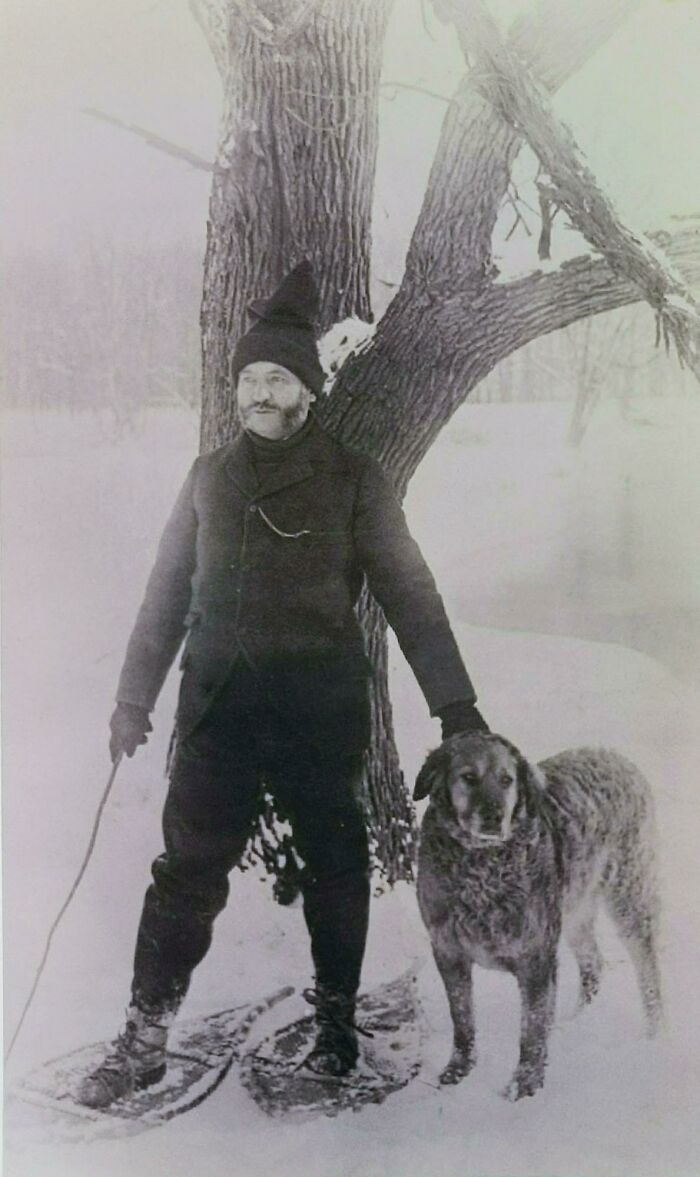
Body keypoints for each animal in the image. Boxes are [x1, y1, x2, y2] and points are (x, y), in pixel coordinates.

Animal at [416, 729, 663, 1096]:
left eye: (507, 780)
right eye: (469, 777)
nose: (494, 816)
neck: (480, 866)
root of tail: (614, 757)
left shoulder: (536, 957)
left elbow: (531, 1031)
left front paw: (524, 1086)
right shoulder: (448, 952)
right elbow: (462, 1019)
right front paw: (458, 1070)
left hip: (628, 897)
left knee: (648, 969)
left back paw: (655, 1033)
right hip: (574, 907)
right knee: (593, 964)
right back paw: (575, 1021)